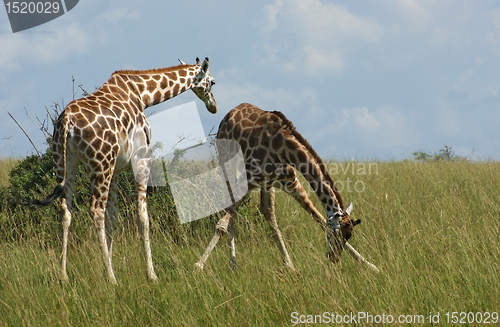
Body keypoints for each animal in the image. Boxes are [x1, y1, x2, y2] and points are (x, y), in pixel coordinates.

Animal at [25, 57, 217, 284]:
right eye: (212, 82)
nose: (213, 106)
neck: (143, 94)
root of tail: (67, 123)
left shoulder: (116, 169)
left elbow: (114, 217)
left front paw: (107, 264)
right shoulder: (141, 158)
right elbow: (143, 217)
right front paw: (151, 274)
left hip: (65, 164)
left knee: (66, 210)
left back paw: (64, 274)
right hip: (100, 163)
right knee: (96, 211)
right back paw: (112, 279)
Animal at [195, 104, 378, 272]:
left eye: (348, 236)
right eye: (336, 234)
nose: (333, 259)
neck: (283, 148)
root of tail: (229, 114)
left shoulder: (291, 182)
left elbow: (318, 217)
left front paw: (370, 264)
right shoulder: (249, 179)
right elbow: (222, 224)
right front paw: (198, 265)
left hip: (268, 184)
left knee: (267, 212)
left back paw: (287, 265)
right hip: (228, 165)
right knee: (231, 211)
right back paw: (233, 263)